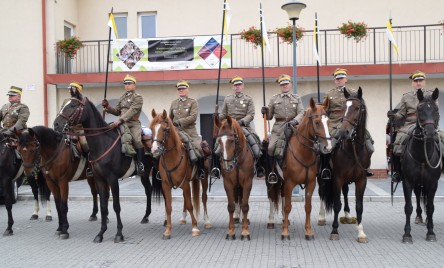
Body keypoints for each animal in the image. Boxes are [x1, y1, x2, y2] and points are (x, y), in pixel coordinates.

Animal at [52, 96, 161, 243]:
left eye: (73, 105)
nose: (56, 124)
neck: (102, 142)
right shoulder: (99, 179)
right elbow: (103, 206)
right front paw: (101, 233)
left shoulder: (112, 179)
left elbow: (116, 206)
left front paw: (119, 234)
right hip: (144, 174)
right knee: (148, 190)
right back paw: (146, 216)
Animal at [151, 110, 212, 240]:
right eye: (152, 128)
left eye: (165, 129)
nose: (155, 149)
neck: (172, 157)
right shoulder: (166, 185)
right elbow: (168, 207)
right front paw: (167, 231)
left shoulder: (185, 184)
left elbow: (190, 205)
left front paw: (195, 228)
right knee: (185, 198)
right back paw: (183, 218)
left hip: (204, 179)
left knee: (204, 198)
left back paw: (207, 221)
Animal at [268, 97, 332, 240]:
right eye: (317, 122)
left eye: (328, 121)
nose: (328, 147)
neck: (303, 153)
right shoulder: (290, 183)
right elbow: (288, 206)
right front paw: (285, 232)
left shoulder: (311, 183)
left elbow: (308, 207)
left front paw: (308, 231)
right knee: (273, 197)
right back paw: (272, 221)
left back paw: (284, 221)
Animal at [320, 87, 372, 243]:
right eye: (344, 107)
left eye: (357, 108)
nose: (344, 131)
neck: (353, 149)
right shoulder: (337, 178)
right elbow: (337, 204)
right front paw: (334, 230)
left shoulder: (361, 180)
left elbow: (359, 206)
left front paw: (360, 232)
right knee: (322, 193)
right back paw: (321, 217)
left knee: (346, 191)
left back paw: (348, 215)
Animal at [398, 88, 440, 243]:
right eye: (419, 109)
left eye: (436, 109)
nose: (429, 133)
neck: (422, 156)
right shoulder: (408, 182)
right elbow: (408, 207)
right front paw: (407, 234)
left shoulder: (433, 183)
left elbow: (431, 207)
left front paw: (431, 232)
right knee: (417, 195)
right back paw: (419, 216)